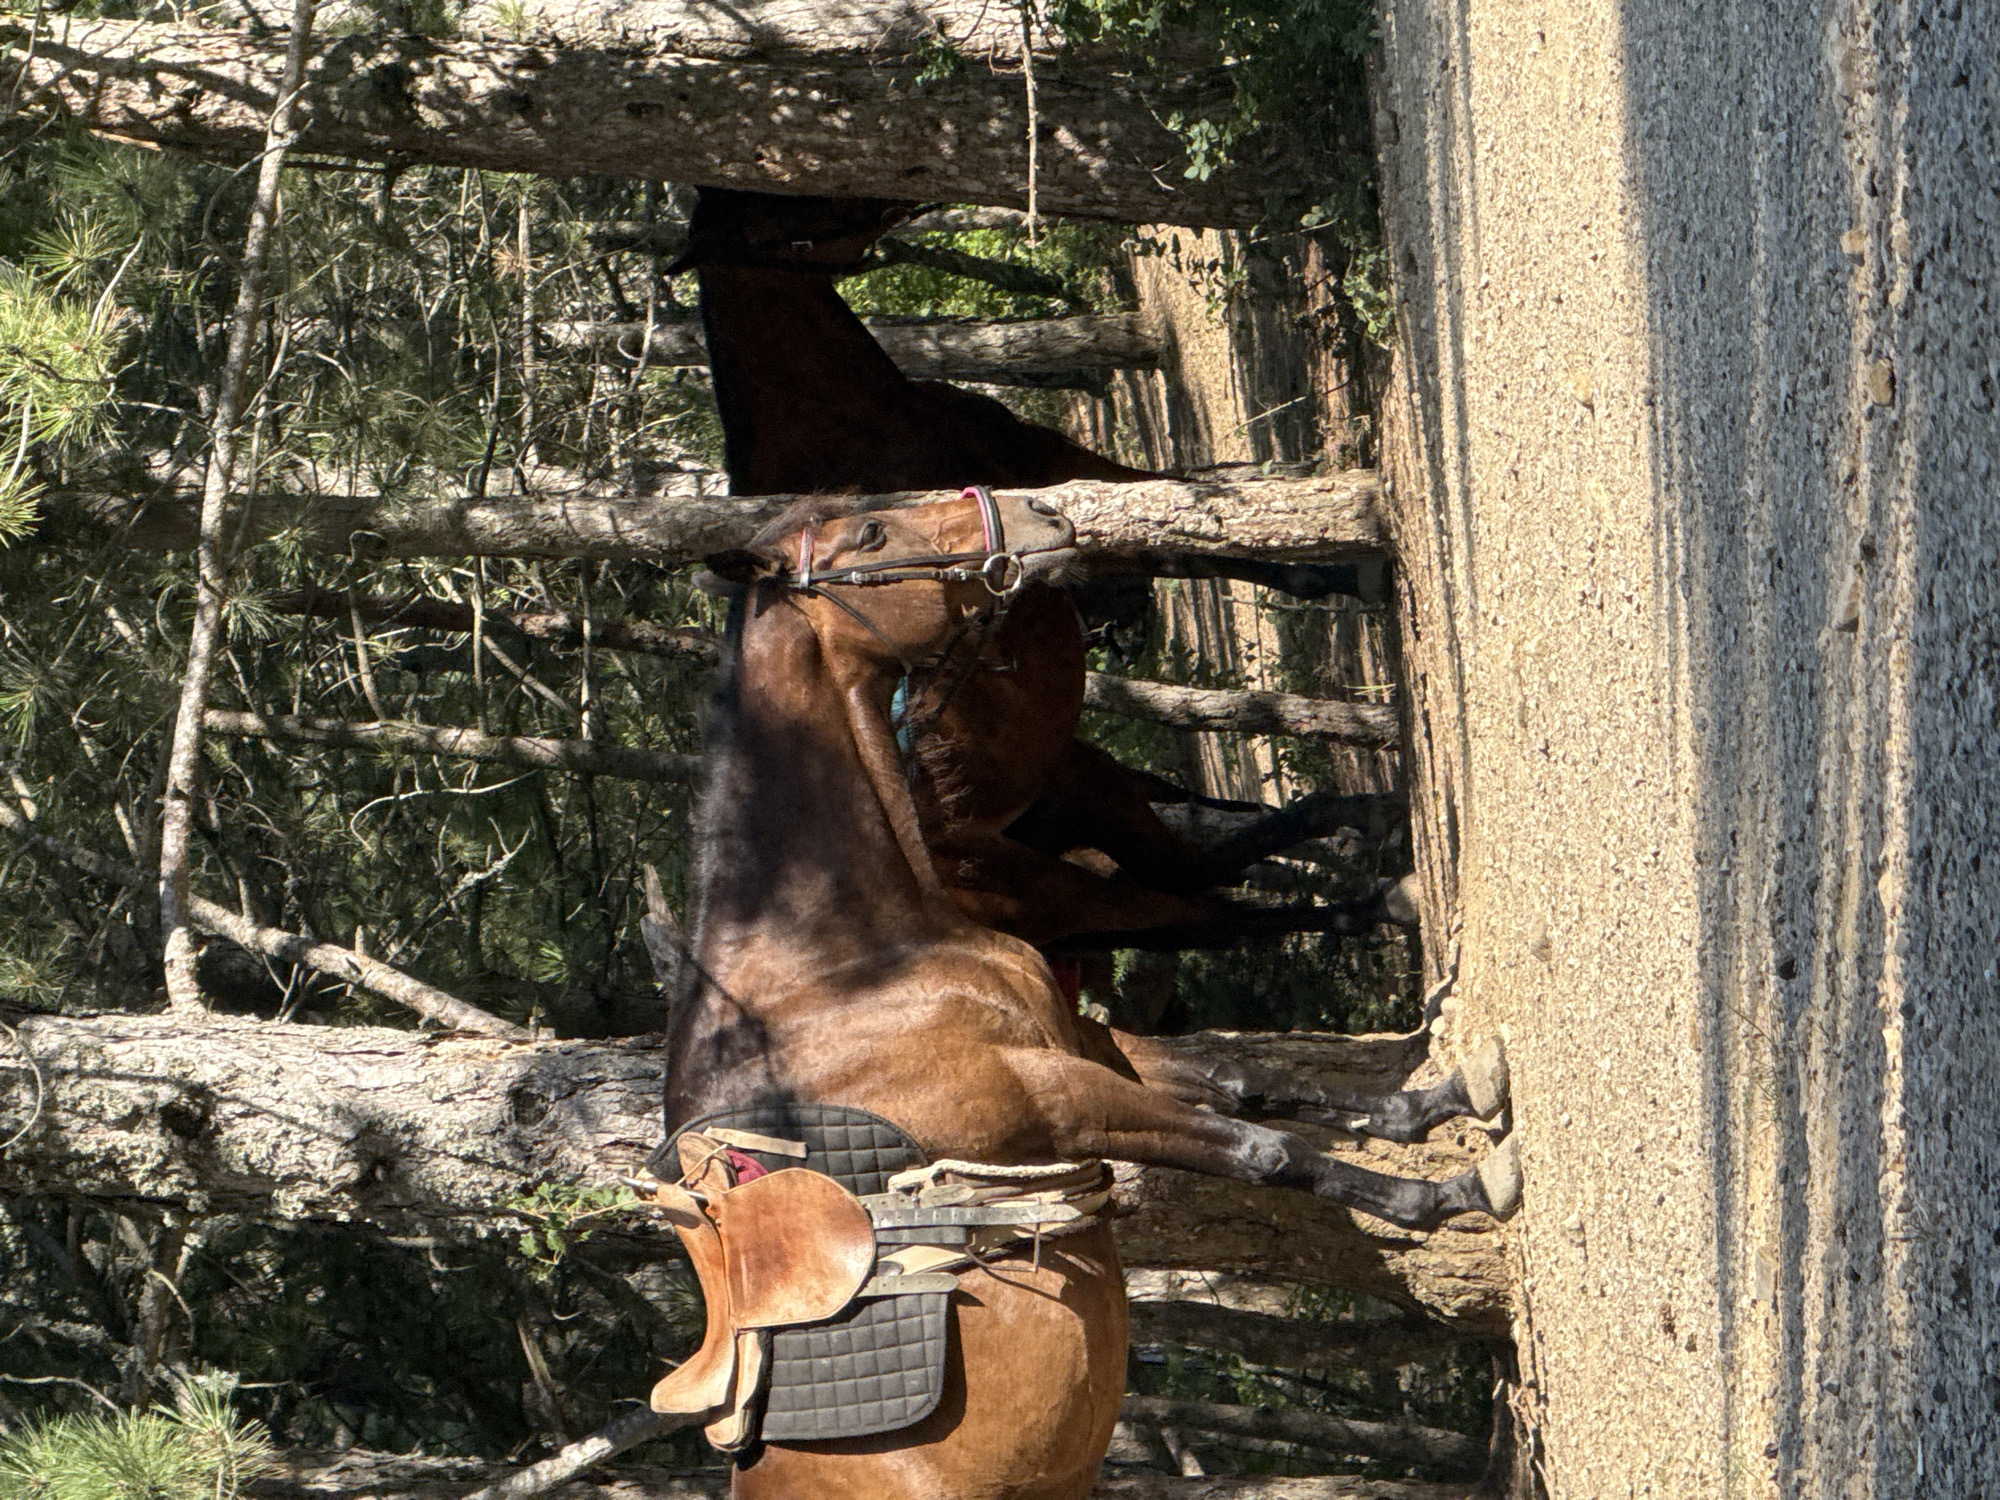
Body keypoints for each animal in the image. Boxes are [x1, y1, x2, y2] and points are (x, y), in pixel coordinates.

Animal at [656, 488, 1519, 1498]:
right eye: (870, 535)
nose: (1037, 510)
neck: (841, 968)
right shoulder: (1055, 1097)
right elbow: (1263, 1148)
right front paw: (1450, 1194)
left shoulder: (1079, 1041)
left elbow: (1245, 1083)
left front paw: (1439, 1099)